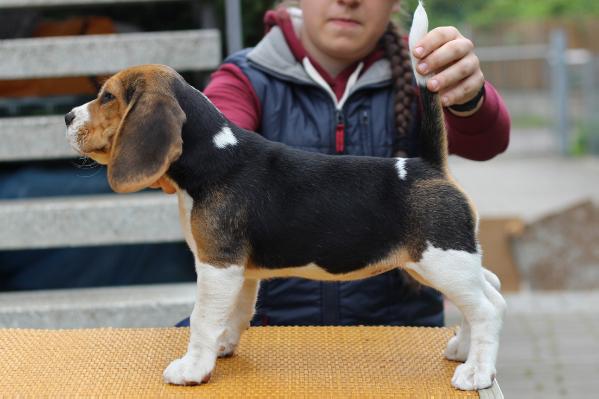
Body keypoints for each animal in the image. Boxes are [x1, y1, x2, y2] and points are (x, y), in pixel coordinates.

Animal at [64, 2, 506, 390]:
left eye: (107, 96)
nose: (67, 117)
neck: (212, 155)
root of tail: (428, 165)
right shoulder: (239, 272)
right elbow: (235, 313)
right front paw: (222, 348)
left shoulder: (217, 265)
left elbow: (202, 318)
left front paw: (192, 368)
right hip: (440, 262)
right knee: (491, 292)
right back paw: (462, 348)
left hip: (442, 259)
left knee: (485, 308)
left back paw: (476, 372)